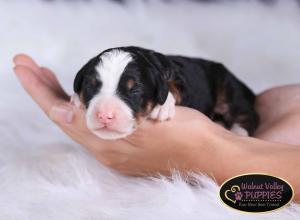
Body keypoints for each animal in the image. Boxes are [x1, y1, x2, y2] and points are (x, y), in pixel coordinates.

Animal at [71, 46, 258, 139]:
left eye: (135, 90)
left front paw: (163, 107)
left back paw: (238, 131)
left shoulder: (180, 80)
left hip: (228, 86)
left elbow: (171, 86)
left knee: (248, 113)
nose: (104, 115)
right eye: (91, 86)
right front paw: (76, 99)